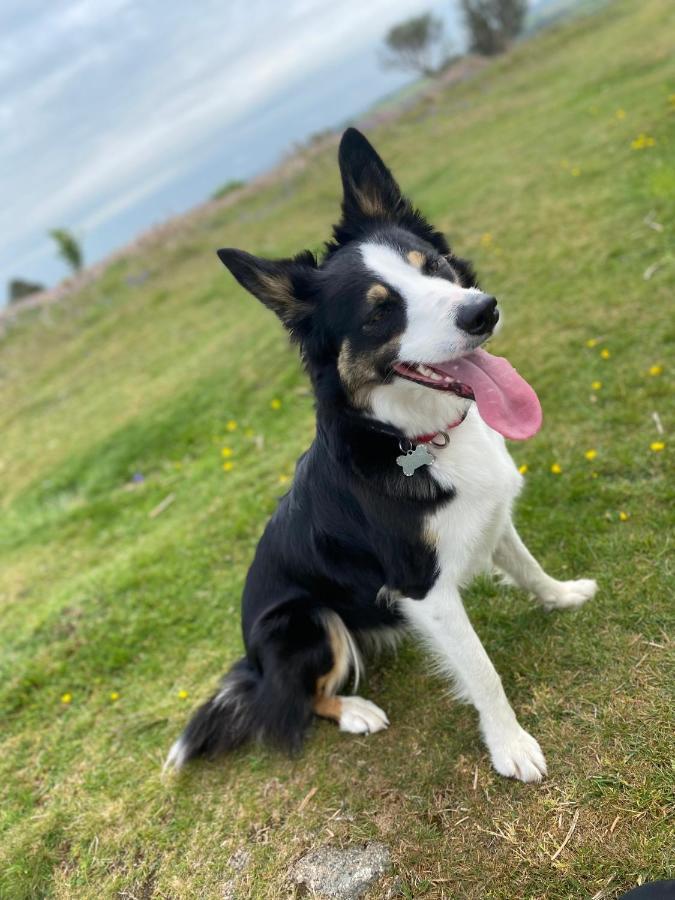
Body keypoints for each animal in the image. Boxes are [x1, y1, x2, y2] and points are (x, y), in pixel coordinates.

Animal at [168, 126, 596, 780]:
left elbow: (527, 566)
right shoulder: (423, 590)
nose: (484, 310)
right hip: (306, 621)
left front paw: (564, 595)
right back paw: (354, 711)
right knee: (295, 702)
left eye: (435, 267)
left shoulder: (491, 518)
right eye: (379, 311)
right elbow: (482, 671)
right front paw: (511, 745)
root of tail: (253, 664)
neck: (415, 436)